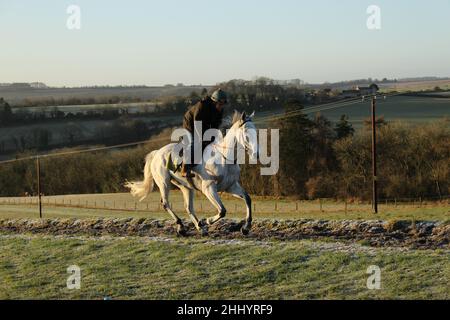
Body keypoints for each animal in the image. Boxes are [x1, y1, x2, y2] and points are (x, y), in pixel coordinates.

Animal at [125, 111, 258, 236]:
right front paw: (207, 221)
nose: (256, 154)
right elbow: (222, 210)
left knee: (188, 207)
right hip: (164, 183)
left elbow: (247, 199)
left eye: (256, 132)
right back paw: (182, 226)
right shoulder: (208, 188)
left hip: (186, 186)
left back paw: (199, 228)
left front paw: (246, 228)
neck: (224, 158)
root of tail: (157, 152)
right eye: (246, 132)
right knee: (165, 203)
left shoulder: (230, 186)